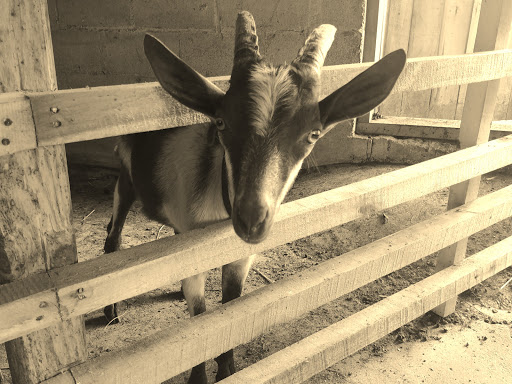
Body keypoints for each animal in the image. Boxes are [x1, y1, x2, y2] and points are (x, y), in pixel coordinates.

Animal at [104, 11, 406, 384]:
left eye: (312, 135)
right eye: (221, 122)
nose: (251, 219)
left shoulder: (239, 256)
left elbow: (230, 312)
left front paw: (228, 370)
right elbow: (200, 321)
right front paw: (199, 377)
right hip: (124, 175)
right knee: (113, 236)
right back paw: (111, 312)